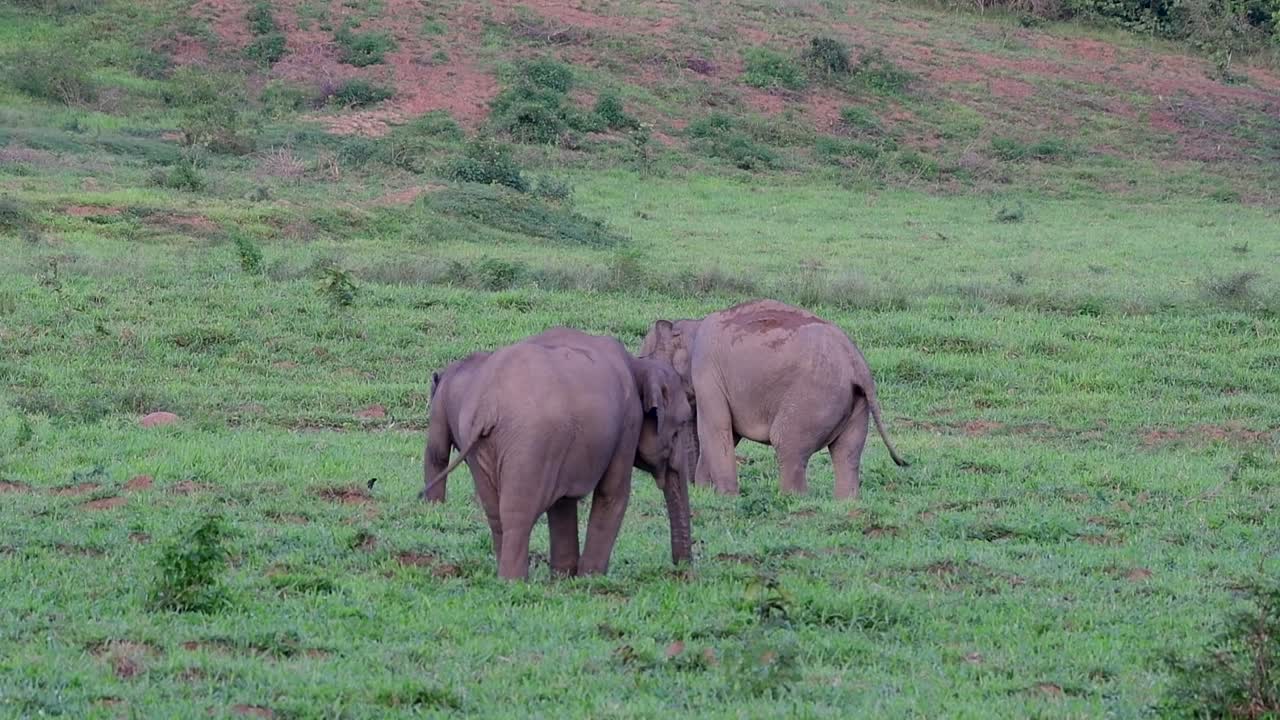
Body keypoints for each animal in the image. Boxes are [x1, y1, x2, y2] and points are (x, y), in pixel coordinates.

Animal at [421, 327, 696, 581]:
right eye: (682, 423)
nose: (683, 571)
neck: (637, 363)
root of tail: (489, 405)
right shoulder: (629, 422)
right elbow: (613, 494)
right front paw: (590, 579)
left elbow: (563, 503)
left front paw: (564, 577)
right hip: (531, 443)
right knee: (518, 512)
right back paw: (514, 581)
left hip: (485, 447)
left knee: (496, 512)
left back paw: (505, 577)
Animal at [639, 298, 908, 501]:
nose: (694, 488)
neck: (691, 326)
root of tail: (857, 364)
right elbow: (725, 435)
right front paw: (709, 495)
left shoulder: (707, 373)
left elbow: (715, 430)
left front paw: (725, 498)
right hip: (855, 404)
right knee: (847, 452)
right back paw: (845, 504)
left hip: (812, 399)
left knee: (788, 445)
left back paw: (793, 500)